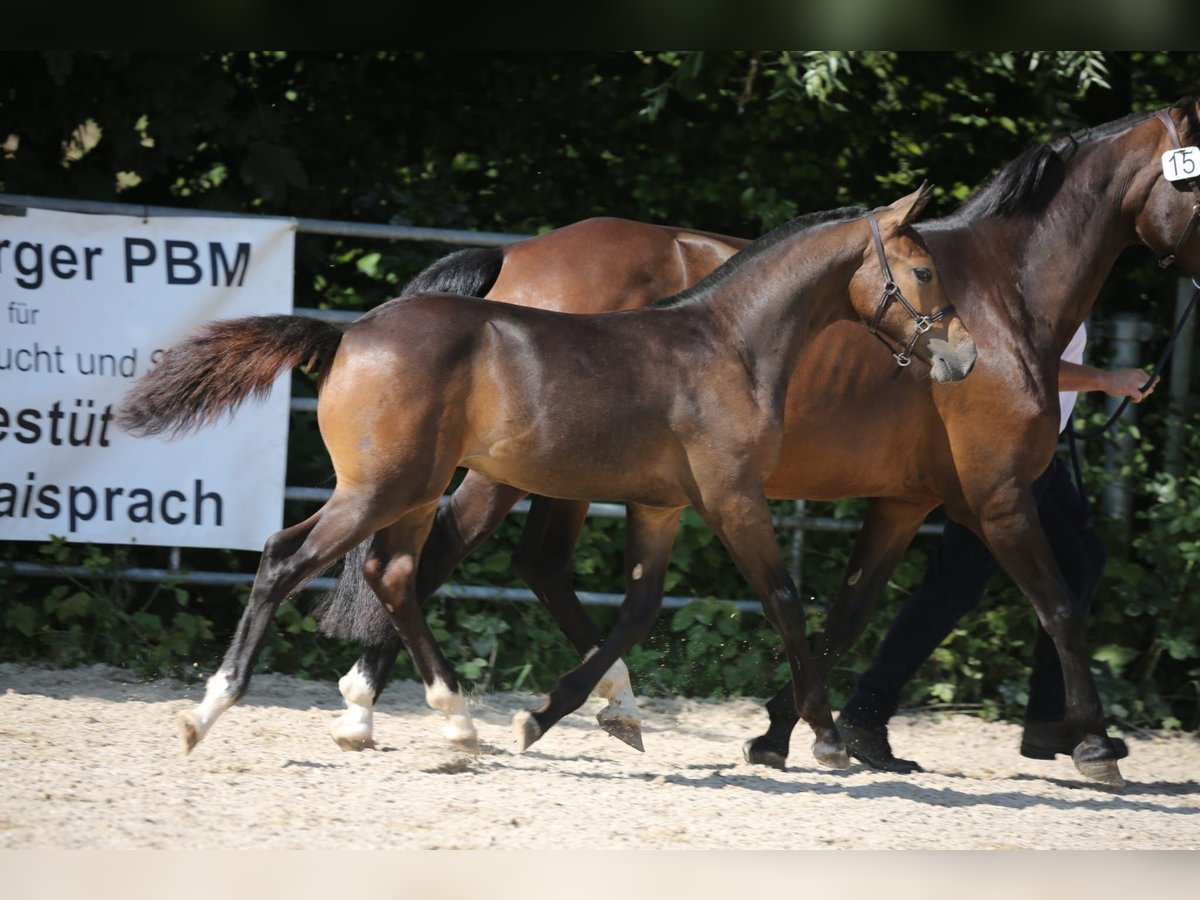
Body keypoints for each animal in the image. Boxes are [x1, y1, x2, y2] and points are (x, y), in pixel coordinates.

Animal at [117, 188, 974, 768]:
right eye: (924, 270)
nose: (964, 356)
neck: (726, 343)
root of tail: (348, 331)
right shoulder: (735, 501)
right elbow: (787, 603)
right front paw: (822, 741)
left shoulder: (660, 507)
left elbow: (637, 611)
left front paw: (555, 717)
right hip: (382, 489)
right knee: (284, 559)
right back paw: (209, 711)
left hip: (414, 490)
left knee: (393, 574)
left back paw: (455, 723)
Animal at [324, 100, 1200, 787]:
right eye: (1193, 181)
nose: (961, 359)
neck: (1002, 291)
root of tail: (515, 255)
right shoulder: (997, 499)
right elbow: (1058, 603)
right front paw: (1094, 746)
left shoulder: (904, 503)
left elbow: (847, 613)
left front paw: (791, 732)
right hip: (507, 472)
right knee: (441, 555)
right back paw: (387, 708)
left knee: (527, 565)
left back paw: (594, 705)